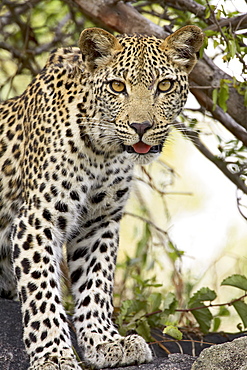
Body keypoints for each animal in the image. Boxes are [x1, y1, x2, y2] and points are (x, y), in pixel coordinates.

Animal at [0, 25, 204, 368]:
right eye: (117, 86)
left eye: (164, 85)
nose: (140, 126)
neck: (103, 149)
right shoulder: (38, 219)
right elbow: (42, 292)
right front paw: (54, 354)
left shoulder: (99, 221)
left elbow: (96, 282)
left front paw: (106, 342)